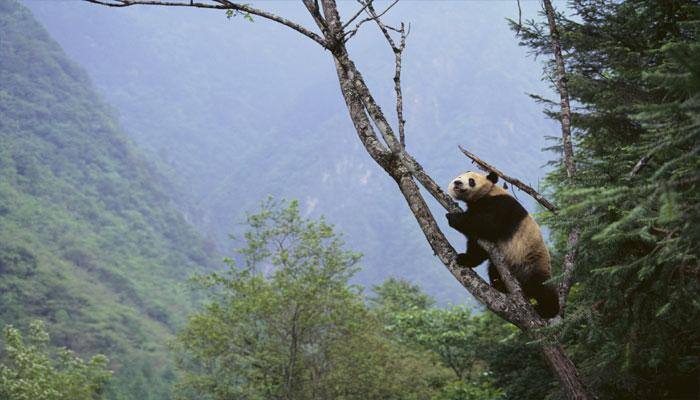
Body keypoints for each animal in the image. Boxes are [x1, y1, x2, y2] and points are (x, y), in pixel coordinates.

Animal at [446, 170, 560, 318]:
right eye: (459, 177)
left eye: (471, 181)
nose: (457, 183)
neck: (487, 193)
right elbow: (477, 245)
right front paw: (464, 259)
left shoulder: (501, 206)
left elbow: (486, 224)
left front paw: (453, 218)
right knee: (494, 271)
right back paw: (501, 287)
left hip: (533, 262)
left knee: (542, 287)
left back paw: (548, 310)